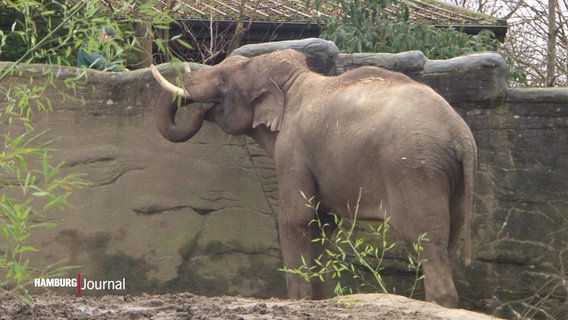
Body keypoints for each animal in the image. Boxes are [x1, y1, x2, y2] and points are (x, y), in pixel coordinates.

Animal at [149, 49, 478, 308]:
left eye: (222, 81)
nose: (202, 110)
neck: (293, 81)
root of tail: (460, 135)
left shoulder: (293, 149)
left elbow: (296, 216)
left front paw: (298, 300)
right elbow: (322, 223)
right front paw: (320, 299)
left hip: (416, 170)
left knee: (427, 239)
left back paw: (439, 303)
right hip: (452, 179)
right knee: (448, 239)